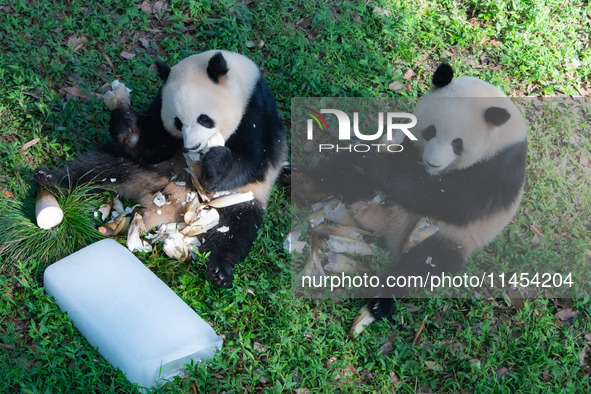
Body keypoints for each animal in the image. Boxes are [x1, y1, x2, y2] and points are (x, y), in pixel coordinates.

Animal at [34, 50, 290, 288]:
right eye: (178, 122)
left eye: (204, 119)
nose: (192, 146)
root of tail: (161, 206)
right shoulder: (160, 106)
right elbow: (153, 143)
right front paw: (127, 123)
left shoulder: (257, 112)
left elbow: (253, 161)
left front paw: (215, 166)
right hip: (141, 169)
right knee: (99, 166)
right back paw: (51, 179)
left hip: (235, 199)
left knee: (236, 228)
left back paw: (219, 271)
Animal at [300, 64, 528, 332]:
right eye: (430, 131)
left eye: (457, 143)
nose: (433, 163)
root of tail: (387, 227)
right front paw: (368, 168)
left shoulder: (500, 166)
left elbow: (453, 200)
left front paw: (377, 166)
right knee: (339, 166)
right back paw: (306, 182)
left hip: (449, 238)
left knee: (419, 267)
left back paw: (379, 303)